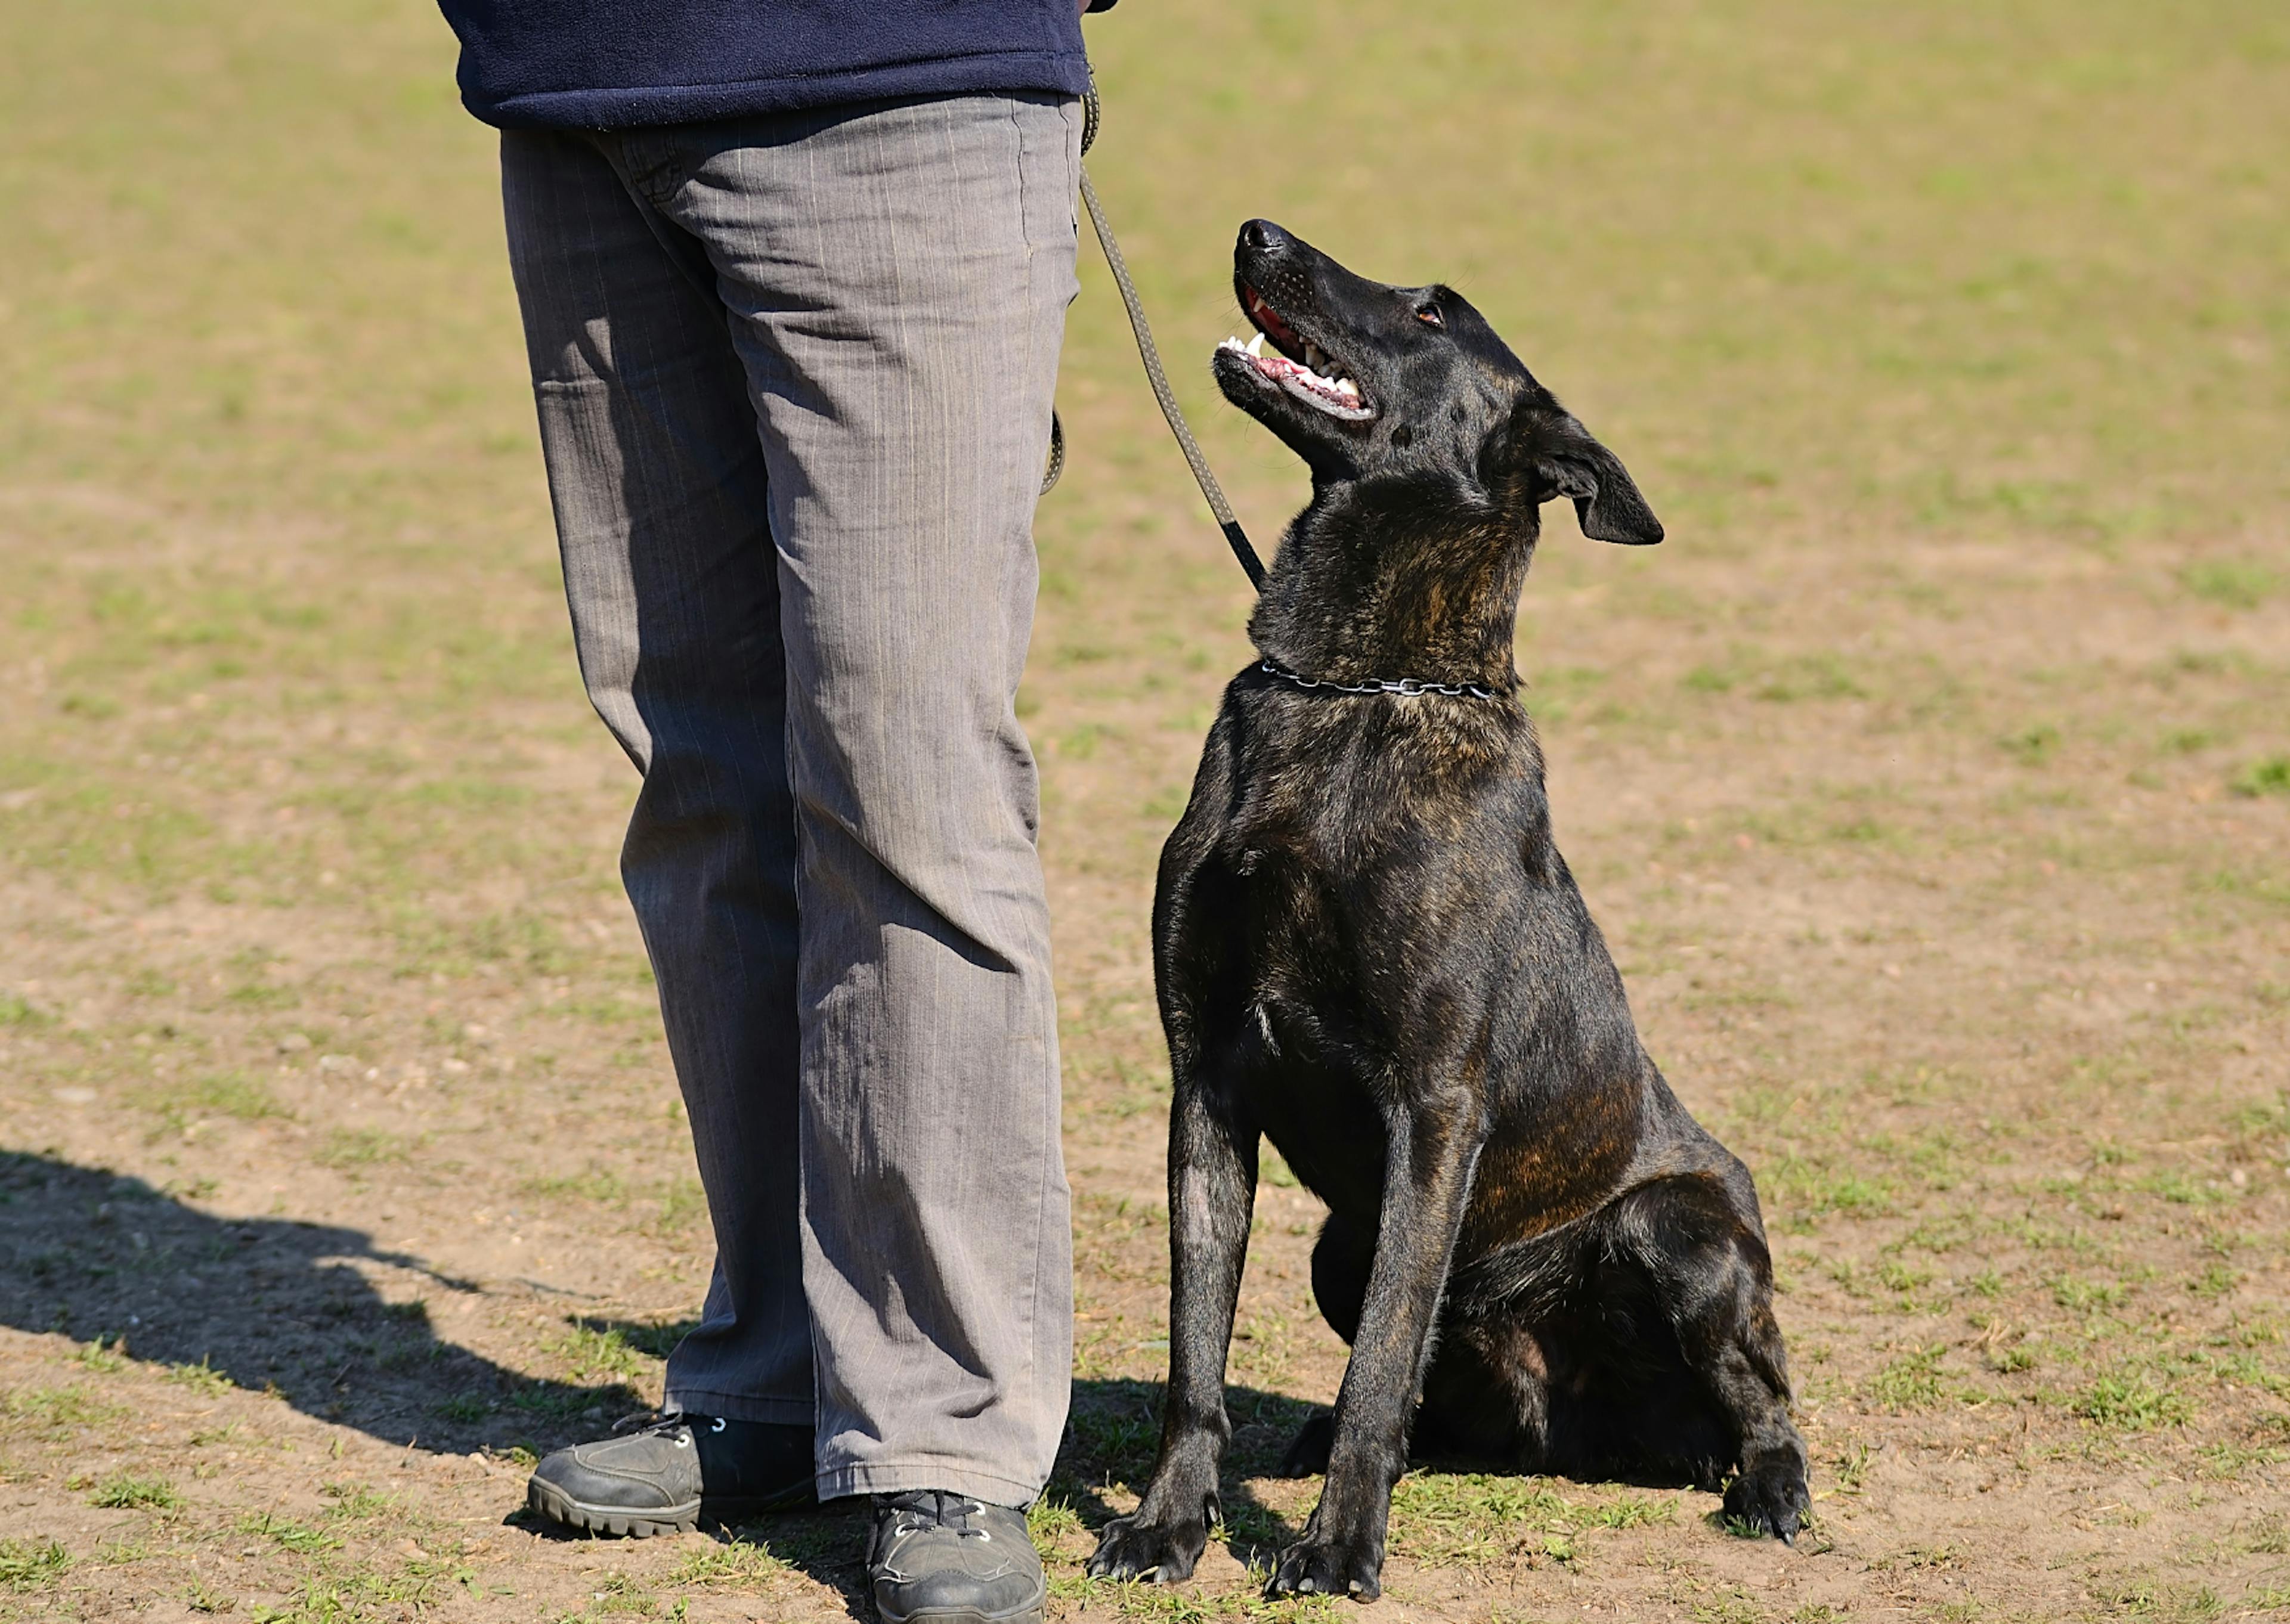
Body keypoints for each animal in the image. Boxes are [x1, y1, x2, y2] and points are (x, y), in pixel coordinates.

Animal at [1085, 222, 1804, 1603]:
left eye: (1429, 313)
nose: (1257, 232)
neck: (1352, 689)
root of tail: (1594, 1440)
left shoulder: (1434, 1104)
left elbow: (1380, 1358)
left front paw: (1336, 1550)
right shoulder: (1206, 1078)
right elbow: (1199, 1355)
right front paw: (1169, 1524)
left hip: (1677, 1230)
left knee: (1766, 1396)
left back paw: (1770, 1487)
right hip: (1338, 1242)